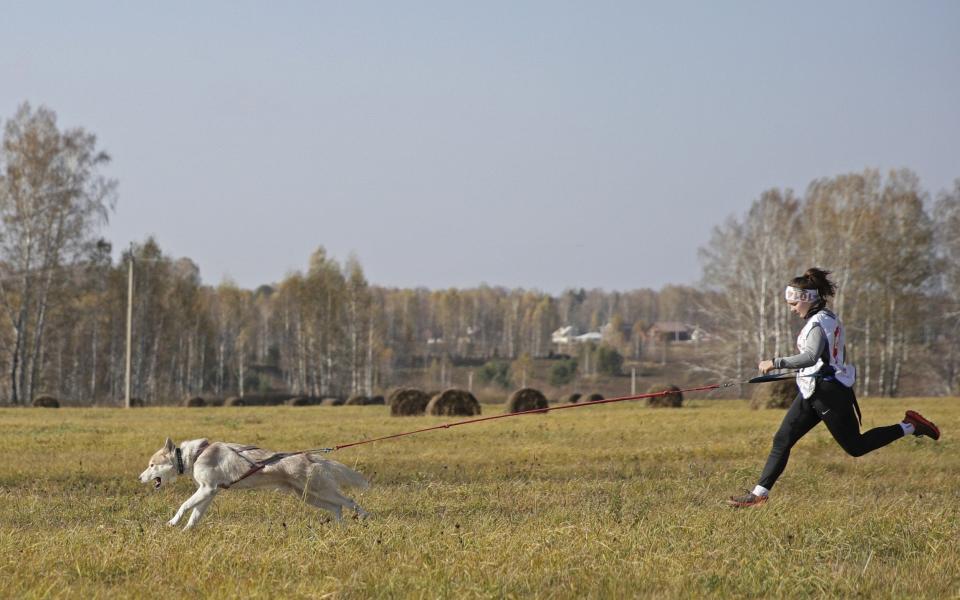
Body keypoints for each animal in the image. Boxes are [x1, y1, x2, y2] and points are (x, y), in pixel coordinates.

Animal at [137, 436, 370, 528]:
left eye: (151, 465)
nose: (139, 478)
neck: (194, 456)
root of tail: (310, 456)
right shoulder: (208, 493)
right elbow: (194, 515)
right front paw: (186, 531)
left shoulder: (207, 490)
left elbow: (183, 506)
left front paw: (172, 522)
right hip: (308, 497)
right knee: (338, 507)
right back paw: (341, 528)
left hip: (318, 490)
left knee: (349, 501)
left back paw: (365, 516)